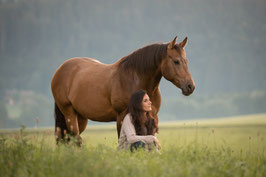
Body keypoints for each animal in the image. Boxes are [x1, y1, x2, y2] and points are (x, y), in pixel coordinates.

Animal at [51, 36, 194, 145]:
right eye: (176, 61)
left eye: (186, 61)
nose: (190, 86)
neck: (134, 79)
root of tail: (60, 69)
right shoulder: (121, 117)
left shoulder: (153, 117)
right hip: (69, 113)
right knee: (75, 139)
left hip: (81, 117)